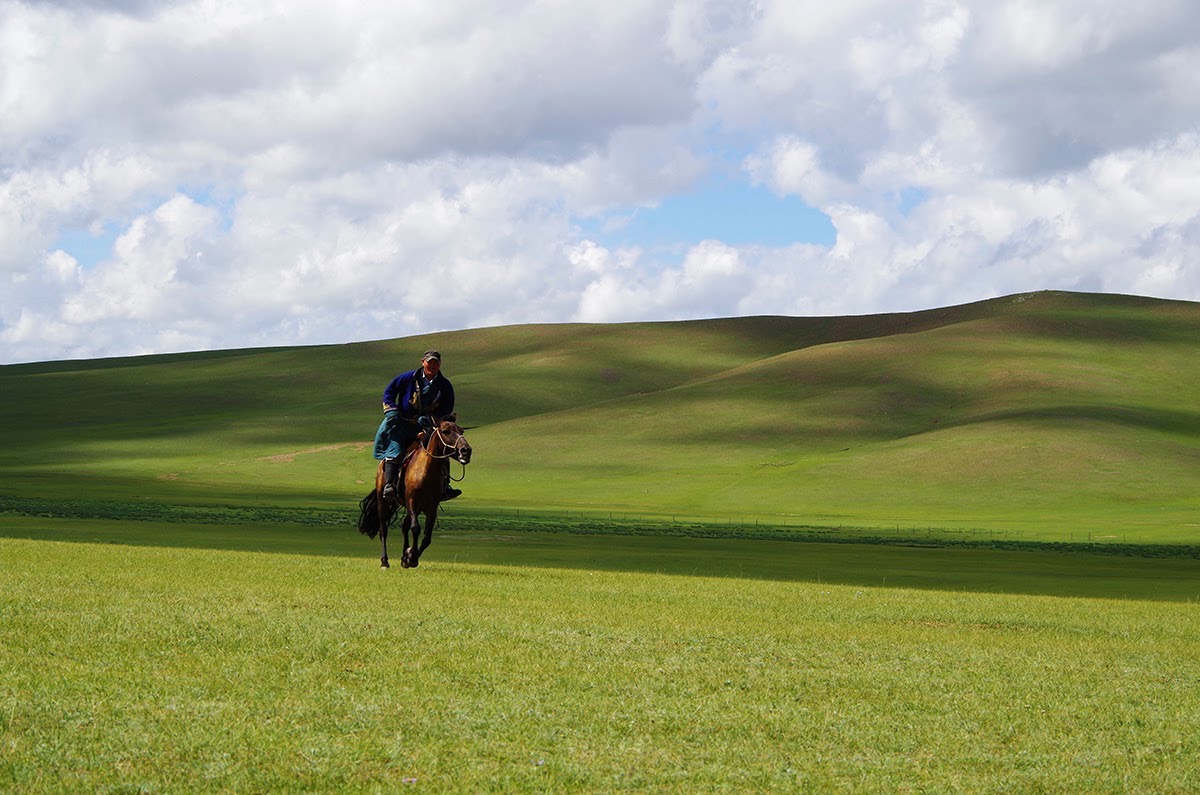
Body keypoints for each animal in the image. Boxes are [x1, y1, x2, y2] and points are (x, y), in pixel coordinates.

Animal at [352, 413, 470, 569]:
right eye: (446, 431)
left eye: (462, 431)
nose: (466, 451)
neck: (426, 473)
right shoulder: (412, 502)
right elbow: (416, 528)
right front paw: (412, 556)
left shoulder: (431, 507)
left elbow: (427, 537)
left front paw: (409, 557)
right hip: (383, 501)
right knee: (384, 530)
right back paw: (384, 561)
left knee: (404, 526)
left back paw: (403, 557)